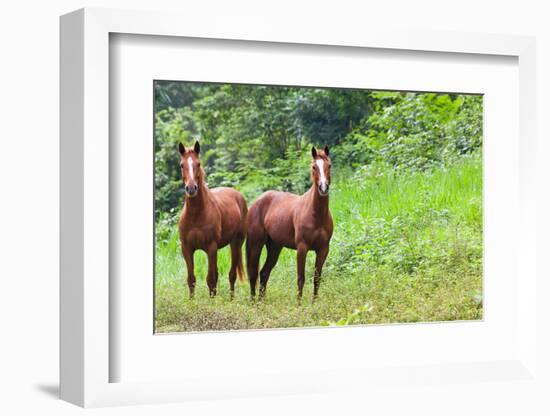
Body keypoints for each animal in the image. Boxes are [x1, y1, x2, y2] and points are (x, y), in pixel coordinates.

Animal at [179, 141, 248, 298]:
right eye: (181, 165)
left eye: (198, 163)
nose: (191, 188)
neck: (196, 215)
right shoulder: (186, 248)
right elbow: (191, 279)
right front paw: (192, 301)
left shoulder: (211, 247)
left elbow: (210, 279)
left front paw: (212, 302)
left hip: (236, 243)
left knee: (231, 275)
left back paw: (231, 299)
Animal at [247, 145, 334, 300]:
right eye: (314, 166)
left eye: (329, 165)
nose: (323, 188)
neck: (316, 215)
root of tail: (256, 202)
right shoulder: (302, 248)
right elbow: (301, 278)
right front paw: (299, 303)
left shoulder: (323, 249)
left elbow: (317, 278)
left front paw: (314, 302)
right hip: (255, 244)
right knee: (253, 273)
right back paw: (253, 302)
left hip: (275, 247)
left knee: (264, 273)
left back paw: (261, 302)